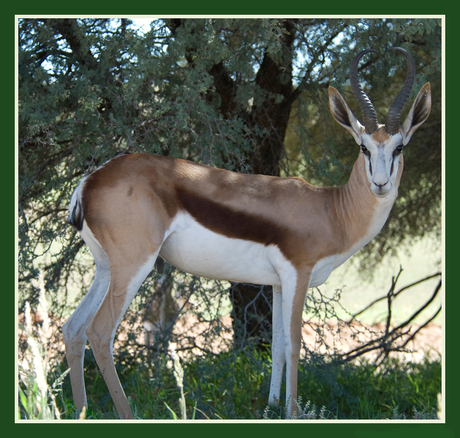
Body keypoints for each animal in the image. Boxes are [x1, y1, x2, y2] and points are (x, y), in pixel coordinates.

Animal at [63, 47, 432, 418]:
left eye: (399, 148)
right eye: (364, 147)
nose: (380, 184)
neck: (330, 210)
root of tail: (91, 180)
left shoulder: (279, 284)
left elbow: (278, 344)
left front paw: (272, 407)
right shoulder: (298, 274)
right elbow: (295, 343)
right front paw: (293, 413)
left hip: (106, 269)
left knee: (74, 327)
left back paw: (79, 411)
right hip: (134, 266)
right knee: (100, 332)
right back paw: (127, 414)